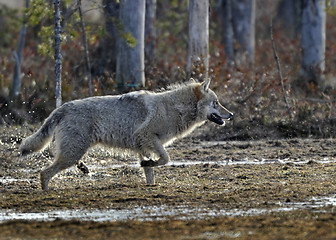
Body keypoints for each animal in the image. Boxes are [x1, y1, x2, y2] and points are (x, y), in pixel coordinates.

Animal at [19, 79, 232, 190]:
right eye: (216, 103)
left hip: (74, 152)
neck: (174, 109)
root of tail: (62, 107)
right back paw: (47, 192)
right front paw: (150, 166)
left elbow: (151, 170)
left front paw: (150, 181)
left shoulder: (142, 147)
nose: (231, 115)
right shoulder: (147, 137)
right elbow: (166, 158)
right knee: (44, 173)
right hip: (72, 153)